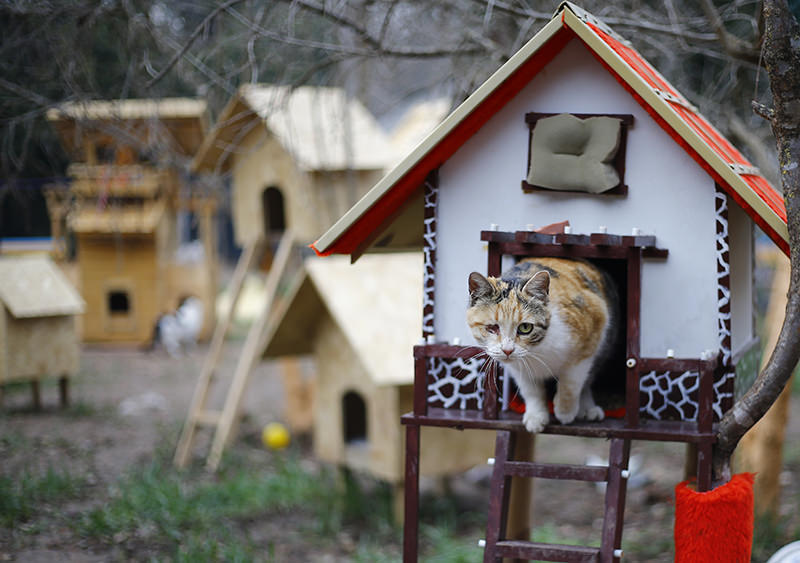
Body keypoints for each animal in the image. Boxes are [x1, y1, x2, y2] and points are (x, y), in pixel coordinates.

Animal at [466, 258, 616, 434]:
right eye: (492, 327)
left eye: (525, 327)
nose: (508, 350)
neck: (537, 349)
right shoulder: (517, 368)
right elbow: (530, 390)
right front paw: (536, 417)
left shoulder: (592, 329)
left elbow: (572, 380)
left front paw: (565, 411)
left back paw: (588, 409)